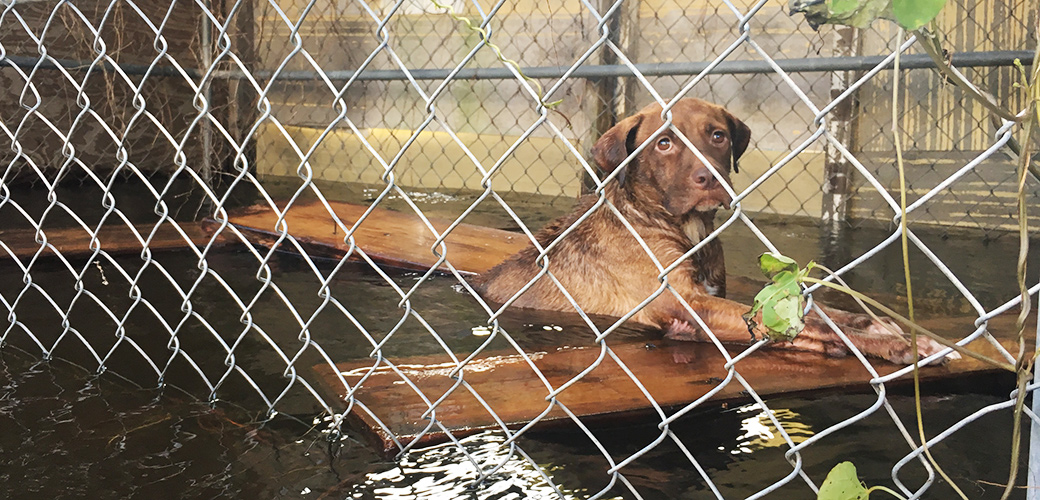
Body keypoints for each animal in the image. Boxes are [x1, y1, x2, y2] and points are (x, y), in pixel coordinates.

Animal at [476, 97, 952, 361]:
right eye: (664, 143)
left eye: (718, 135)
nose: (709, 178)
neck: (684, 229)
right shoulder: (686, 303)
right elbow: (814, 324)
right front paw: (895, 347)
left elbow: (819, 312)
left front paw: (877, 326)